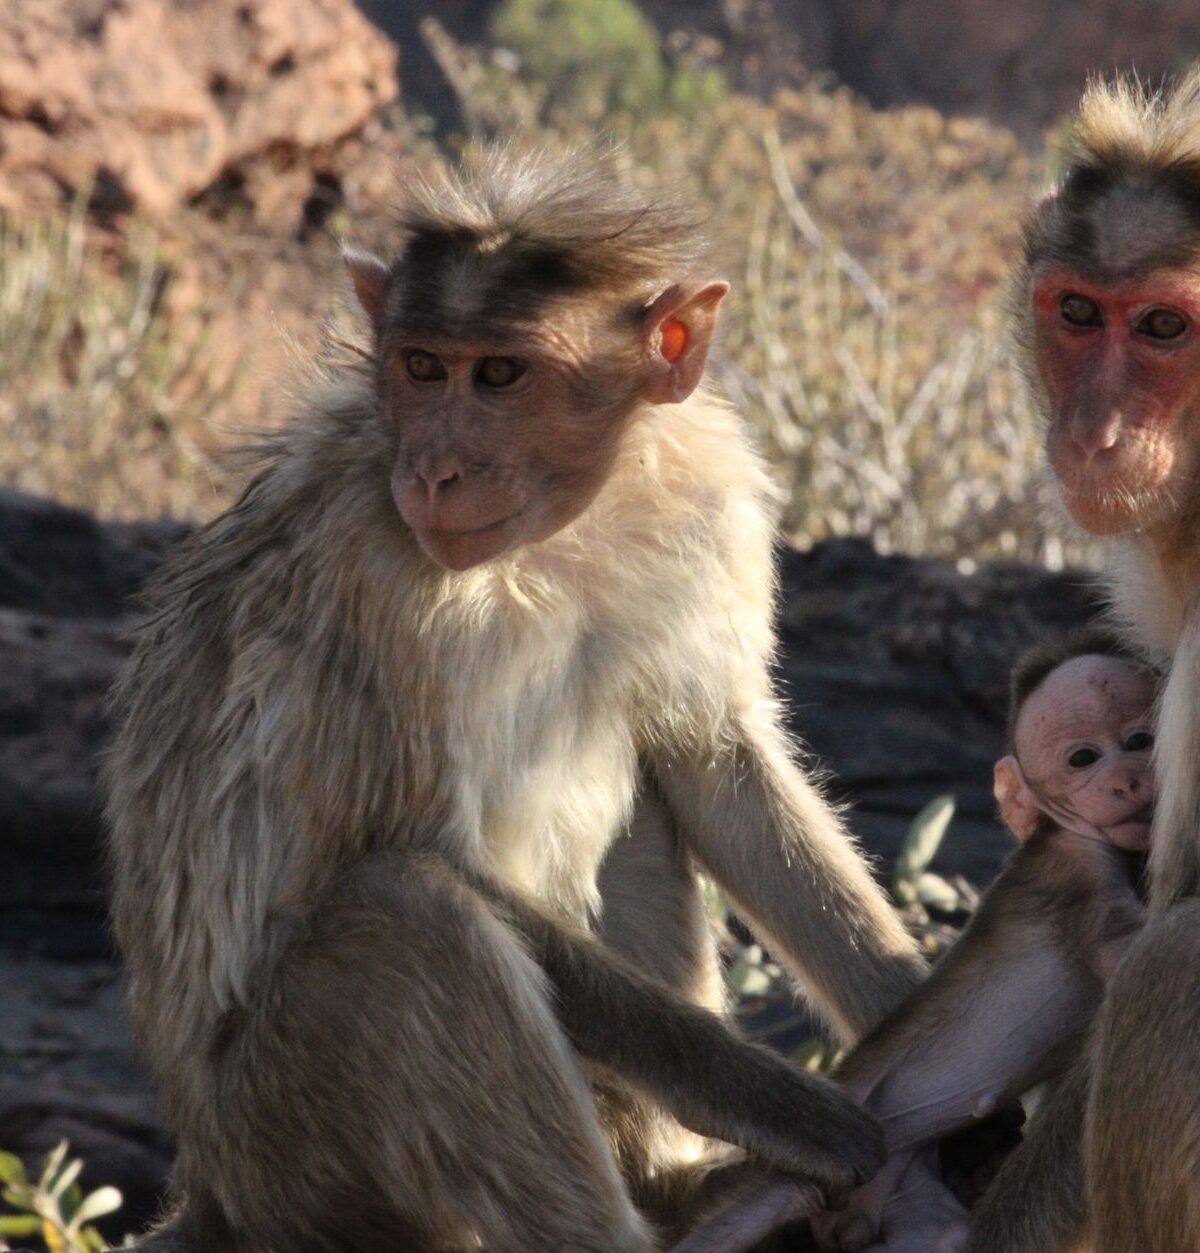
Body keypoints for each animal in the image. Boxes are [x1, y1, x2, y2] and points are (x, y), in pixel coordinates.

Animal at [105, 148, 926, 1253]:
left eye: (499, 375)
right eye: (421, 367)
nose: (435, 471)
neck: (557, 536)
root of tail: (213, 1184)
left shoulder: (706, 505)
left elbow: (713, 761)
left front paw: (920, 1000)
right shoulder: (375, 575)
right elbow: (435, 858)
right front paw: (785, 1103)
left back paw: (665, 1174)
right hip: (286, 1152)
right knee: (407, 921)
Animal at [676, 627, 1157, 1253]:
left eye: (1139, 740)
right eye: (1083, 758)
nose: (1127, 779)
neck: (1066, 830)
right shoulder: (1076, 875)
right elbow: (1125, 949)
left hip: (907, 1196)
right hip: (805, 1165)